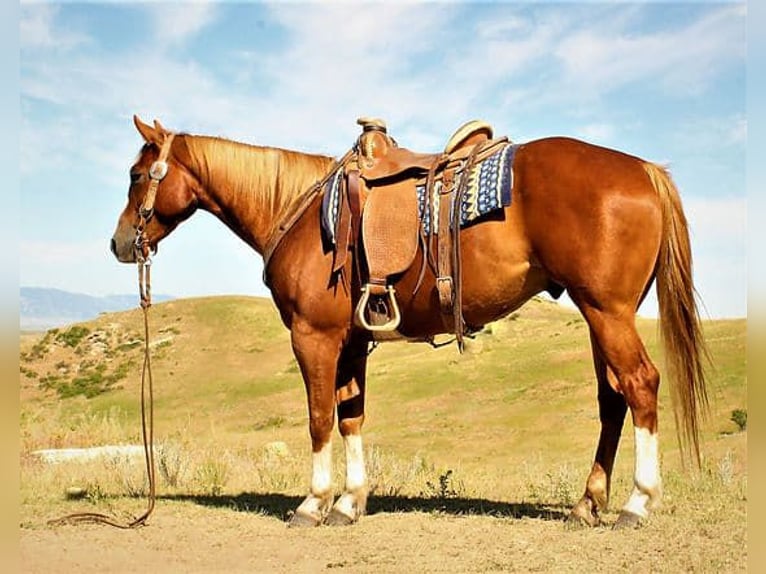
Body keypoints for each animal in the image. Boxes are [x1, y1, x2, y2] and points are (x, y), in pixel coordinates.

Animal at [112, 116, 708, 532]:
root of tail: (643, 170)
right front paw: (349, 503)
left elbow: (318, 418)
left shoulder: (313, 337)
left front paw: (313, 502)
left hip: (607, 312)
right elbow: (350, 417)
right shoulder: (352, 341)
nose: (119, 244)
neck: (299, 213)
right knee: (613, 400)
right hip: (600, 314)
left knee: (640, 385)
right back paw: (587, 503)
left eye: (137, 175)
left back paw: (637, 502)